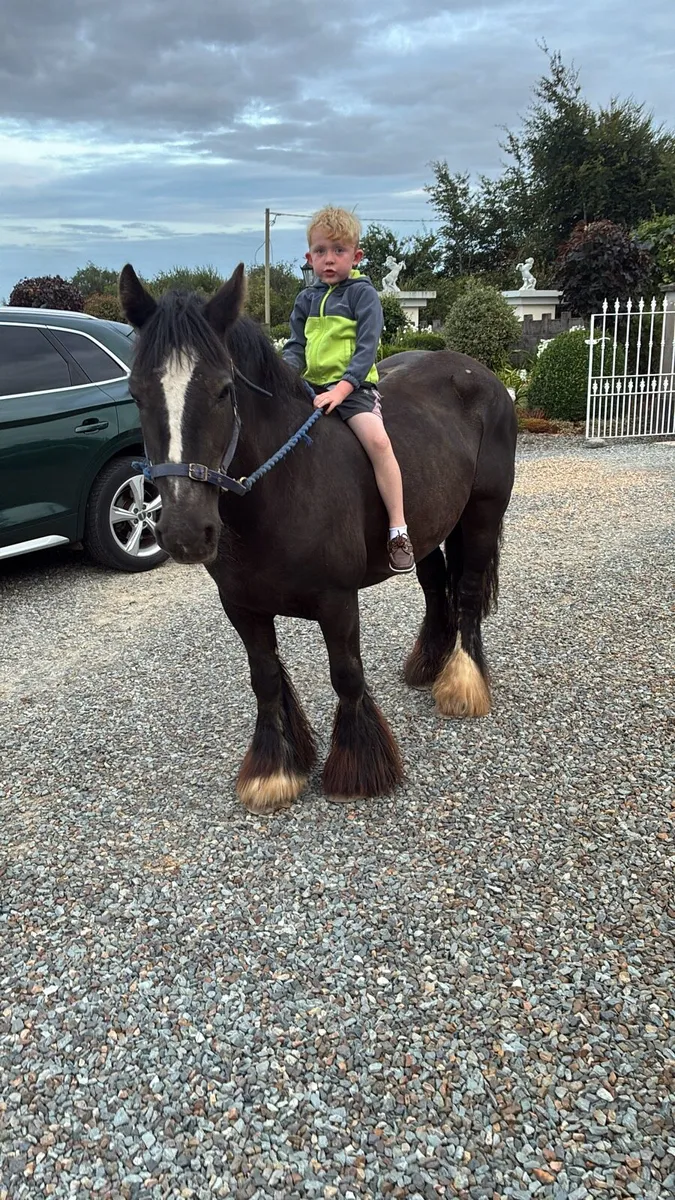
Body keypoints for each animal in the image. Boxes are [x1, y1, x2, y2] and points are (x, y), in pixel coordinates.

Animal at [119, 264, 517, 814]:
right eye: (136, 394)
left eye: (224, 390)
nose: (183, 532)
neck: (282, 489)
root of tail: (479, 373)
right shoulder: (241, 606)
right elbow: (265, 678)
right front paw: (273, 769)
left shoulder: (337, 601)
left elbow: (346, 675)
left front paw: (360, 767)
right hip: (429, 526)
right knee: (438, 587)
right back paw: (428, 665)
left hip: (482, 513)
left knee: (470, 594)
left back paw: (463, 683)